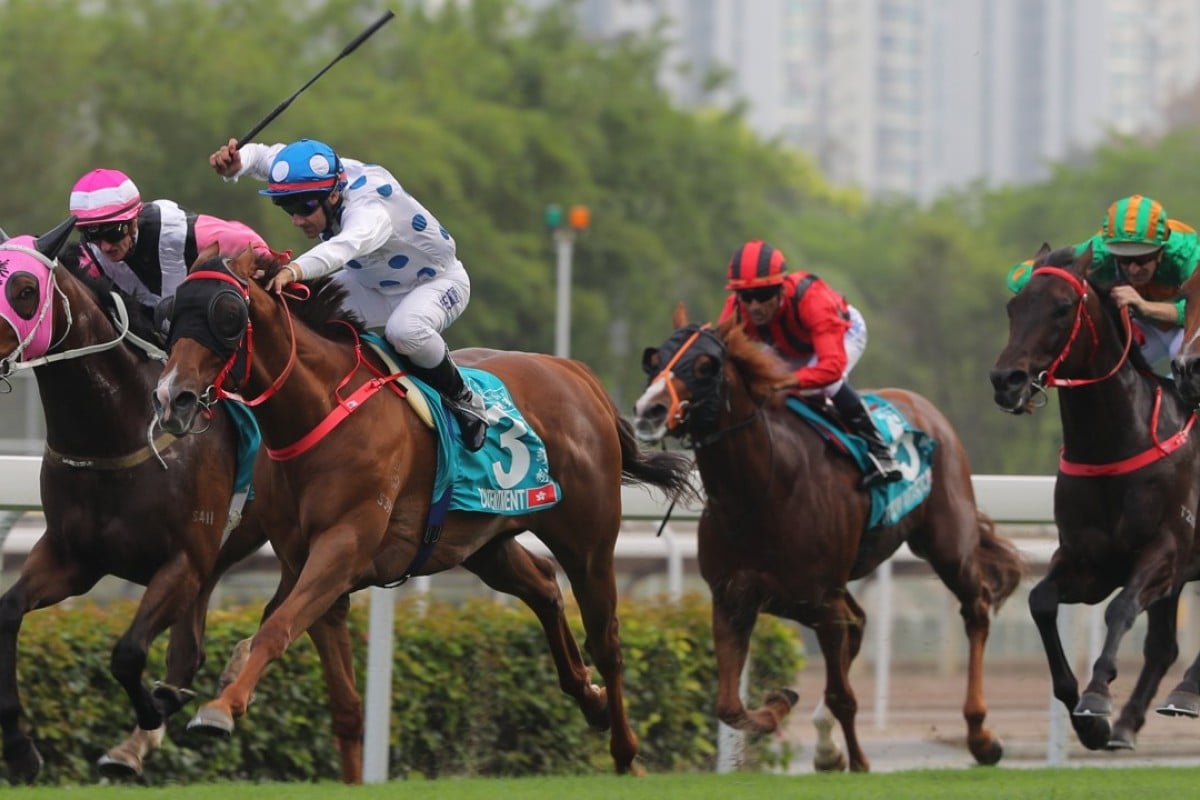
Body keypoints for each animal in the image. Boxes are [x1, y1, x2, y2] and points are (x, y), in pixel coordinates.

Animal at [0, 219, 271, 782]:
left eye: (24, 289)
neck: (114, 431)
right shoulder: (74, 558)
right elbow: (9, 611)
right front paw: (19, 748)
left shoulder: (181, 562)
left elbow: (127, 654)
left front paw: (152, 711)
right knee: (192, 648)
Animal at [150, 248, 696, 777]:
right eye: (172, 310)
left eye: (227, 313)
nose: (171, 397)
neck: (323, 409)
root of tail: (575, 374)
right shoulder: (305, 563)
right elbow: (343, 704)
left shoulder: (342, 548)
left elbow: (276, 628)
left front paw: (222, 707)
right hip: (482, 542)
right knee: (543, 585)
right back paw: (591, 700)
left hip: (588, 543)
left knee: (608, 641)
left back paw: (625, 751)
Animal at [628, 303, 1022, 772]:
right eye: (653, 359)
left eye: (707, 365)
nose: (649, 411)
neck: (761, 491)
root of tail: (924, 406)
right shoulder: (734, 599)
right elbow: (728, 706)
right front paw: (785, 707)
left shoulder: (820, 602)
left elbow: (842, 695)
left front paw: (858, 761)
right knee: (861, 621)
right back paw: (826, 744)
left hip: (947, 543)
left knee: (975, 609)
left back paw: (981, 737)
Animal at [988, 244, 1200, 753]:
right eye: (1013, 306)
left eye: (1062, 308)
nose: (1007, 380)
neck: (1115, 443)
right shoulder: (1089, 561)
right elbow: (1041, 602)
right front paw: (1090, 723)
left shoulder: (1165, 551)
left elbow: (1120, 608)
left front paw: (1098, 695)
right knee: (1163, 646)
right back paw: (1130, 723)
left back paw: (1185, 691)